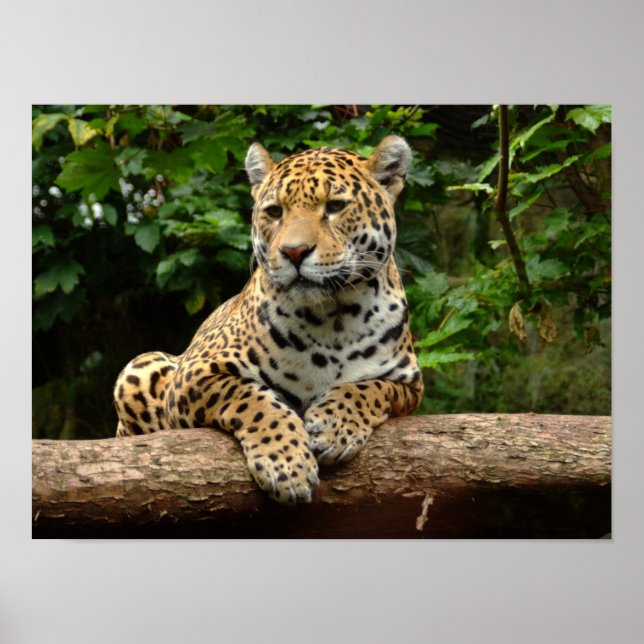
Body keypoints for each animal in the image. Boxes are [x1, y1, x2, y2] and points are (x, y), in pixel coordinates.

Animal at [113, 135, 424, 504]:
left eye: (335, 206)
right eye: (275, 211)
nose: (294, 252)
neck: (333, 318)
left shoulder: (409, 384)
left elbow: (369, 388)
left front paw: (334, 426)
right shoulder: (193, 374)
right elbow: (251, 397)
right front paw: (286, 464)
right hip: (142, 367)